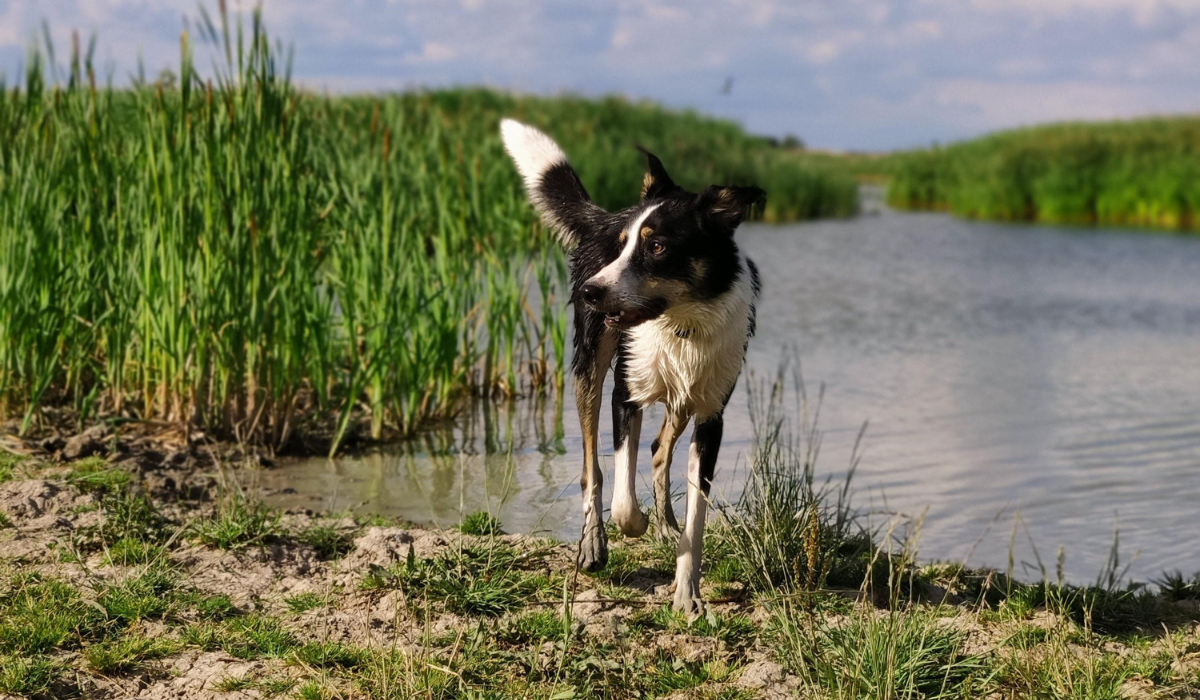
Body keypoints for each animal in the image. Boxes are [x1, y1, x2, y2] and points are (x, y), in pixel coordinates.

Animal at [501, 118, 763, 614]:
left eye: (657, 246)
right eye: (620, 247)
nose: (590, 290)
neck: (680, 323)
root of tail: (606, 215)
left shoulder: (711, 416)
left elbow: (696, 519)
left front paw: (686, 593)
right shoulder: (626, 395)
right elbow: (622, 495)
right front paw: (634, 526)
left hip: (682, 399)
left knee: (660, 450)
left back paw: (664, 525)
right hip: (589, 367)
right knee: (592, 468)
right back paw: (594, 545)